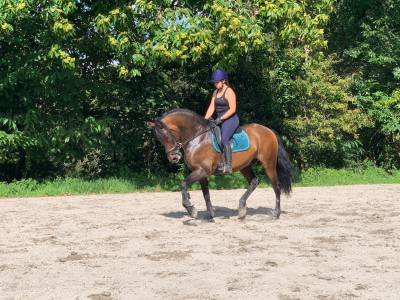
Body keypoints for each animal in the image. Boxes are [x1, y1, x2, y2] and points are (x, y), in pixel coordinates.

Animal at [148, 108, 292, 220]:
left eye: (166, 135)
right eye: (159, 139)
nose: (174, 157)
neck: (198, 138)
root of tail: (269, 130)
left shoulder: (202, 170)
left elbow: (183, 184)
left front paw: (191, 209)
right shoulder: (201, 173)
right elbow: (206, 194)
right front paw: (210, 215)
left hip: (268, 164)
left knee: (276, 187)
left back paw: (276, 214)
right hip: (245, 166)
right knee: (254, 181)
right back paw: (242, 209)